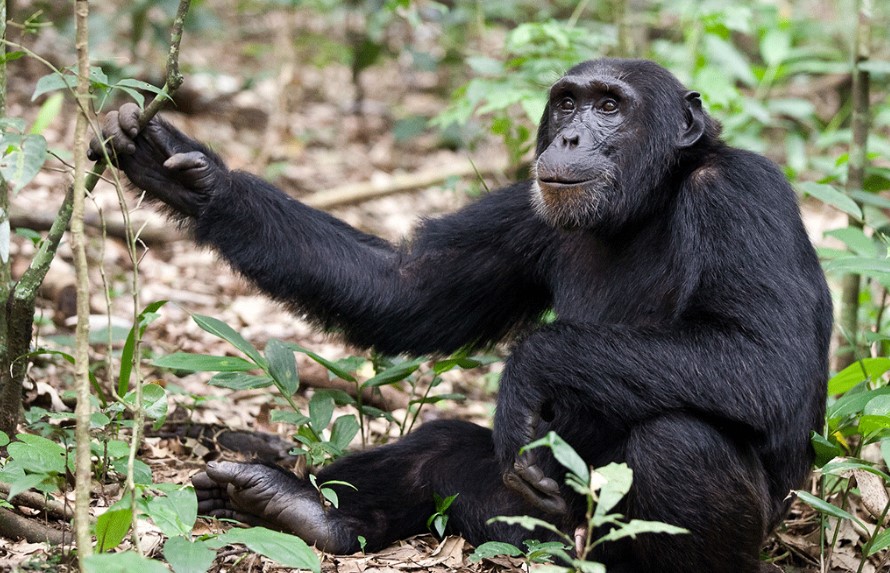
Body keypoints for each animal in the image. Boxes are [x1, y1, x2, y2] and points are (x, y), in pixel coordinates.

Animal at [90, 59, 824, 572]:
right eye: (568, 100)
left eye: (612, 105)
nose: (570, 135)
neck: (645, 206)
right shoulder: (525, 210)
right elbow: (409, 289)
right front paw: (188, 176)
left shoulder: (743, 197)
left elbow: (768, 361)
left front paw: (529, 369)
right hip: (519, 524)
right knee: (441, 445)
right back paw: (296, 505)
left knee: (682, 443)